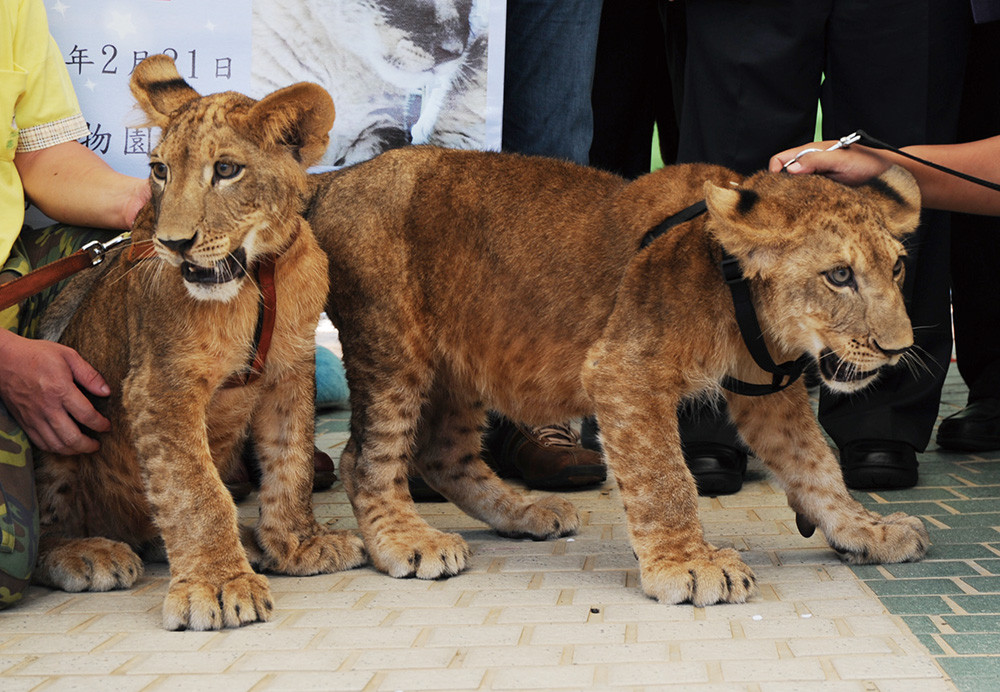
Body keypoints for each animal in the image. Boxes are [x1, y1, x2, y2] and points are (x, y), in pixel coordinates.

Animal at [31, 55, 365, 630]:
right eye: (160, 170)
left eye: (226, 171)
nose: (173, 243)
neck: (257, 278)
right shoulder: (160, 386)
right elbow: (195, 491)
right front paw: (218, 584)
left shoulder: (290, 369)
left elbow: (292, 460)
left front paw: (298, 547)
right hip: (58, 431)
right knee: (45, 530)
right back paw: (87, 553)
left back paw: (249, 543)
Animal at [307, 147, 929, 605]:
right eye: (840, 275)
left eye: (898, 267)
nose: (898, 350)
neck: (739, 293)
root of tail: (335, 178)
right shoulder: (624, 370)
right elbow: (664, 477)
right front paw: (690, 566)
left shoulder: (765, 390)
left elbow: (815, 465)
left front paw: (866, 531)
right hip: (393, 347)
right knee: (364, 458)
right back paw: (407, 542)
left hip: (460, 361)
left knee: (441, 453)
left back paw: (525, 513)